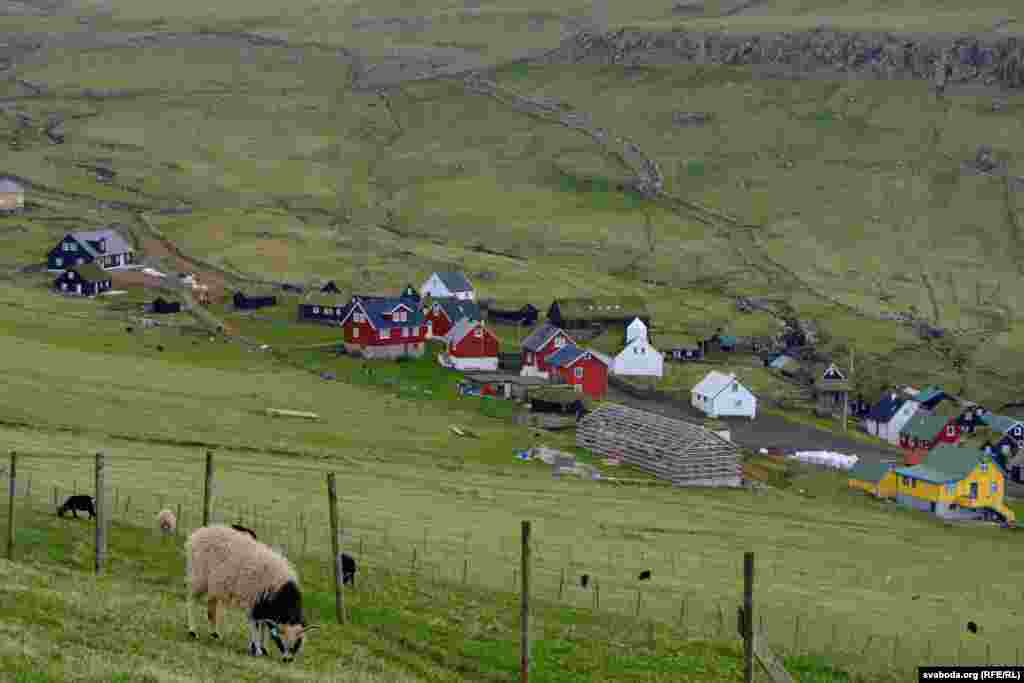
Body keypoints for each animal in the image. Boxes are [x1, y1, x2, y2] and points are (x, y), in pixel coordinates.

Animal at [184, 524, 317, 663]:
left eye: (297, 643)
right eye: (281, 641)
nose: (287, 659)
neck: (281, 591)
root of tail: (199, 532)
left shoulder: (264, 604)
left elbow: (264, 625)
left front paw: (263, 648)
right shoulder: (255, 600)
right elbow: (256, 625)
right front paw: (257, 649)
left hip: (215, 585)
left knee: (211, 608)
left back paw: (215, 634)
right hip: (199, 576)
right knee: (191, 600)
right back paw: (192, 631)